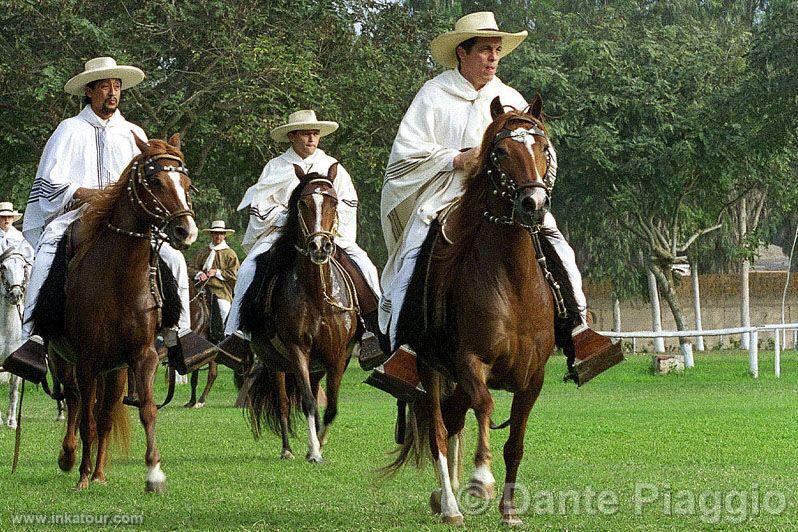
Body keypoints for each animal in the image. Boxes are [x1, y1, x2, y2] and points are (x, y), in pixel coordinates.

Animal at [32, 134, 198, 490]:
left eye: (186, 183)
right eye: (155, 181)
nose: (186, 230)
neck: (118, 280)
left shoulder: (141, 356)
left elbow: (145, 410)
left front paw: (153, 473)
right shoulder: (87, 361)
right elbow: (86, 421)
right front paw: (81, 476)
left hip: (115, 370)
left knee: (104, 415)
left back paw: (99, 472)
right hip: (67, 361)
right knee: (75, 402)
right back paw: (71, 460)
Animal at [239, 164, 360, 464]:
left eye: (333, 202)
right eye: (303, 203)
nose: (319, 247)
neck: (317, 297)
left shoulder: (337, 355)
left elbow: (331, 407)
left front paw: (319, 444)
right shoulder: (297, 351)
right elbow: (306, 402)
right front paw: (314, 451)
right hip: (275, 364)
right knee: (283, 403)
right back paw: (287, 449)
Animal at [390, 95, 560, 524]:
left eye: (542, 147)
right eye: (501, 151)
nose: (534, 203)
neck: (514, 285)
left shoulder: (533, 377)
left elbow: (515, 441)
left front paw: (510, 509)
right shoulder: (470, 361)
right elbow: (484, 405)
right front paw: (481, 478)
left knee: (452, 420)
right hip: (431, 369)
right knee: (438, 429)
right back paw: (450, 505)